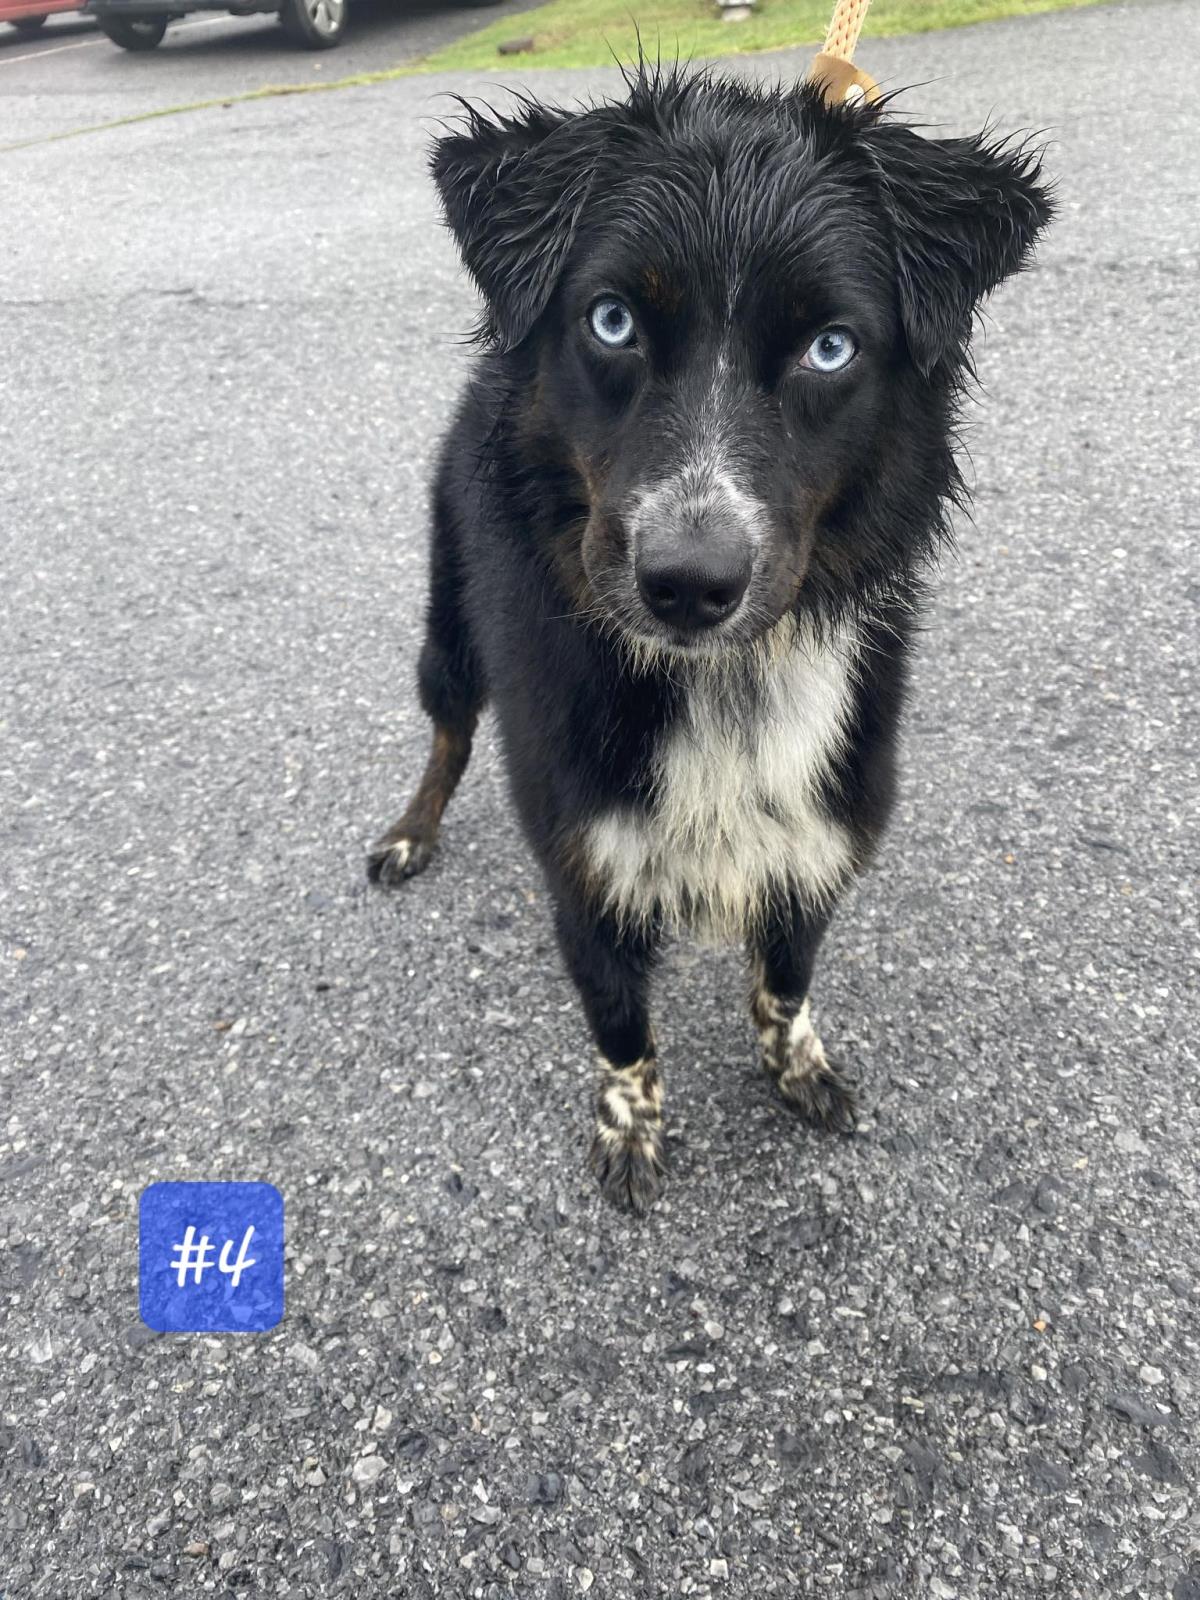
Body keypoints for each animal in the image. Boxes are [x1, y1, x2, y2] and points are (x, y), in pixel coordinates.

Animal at [366, 62, 1049, 1209]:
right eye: (611, 322)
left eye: (830, 347)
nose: (689, 585)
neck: (724, 681)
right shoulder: (586, 867)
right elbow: (619, 1022)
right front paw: (631, 1126)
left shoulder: (816, 834)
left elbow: (786, 979)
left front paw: (797, 1068)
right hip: (448, 630)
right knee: (450, 729)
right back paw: (413, 831)